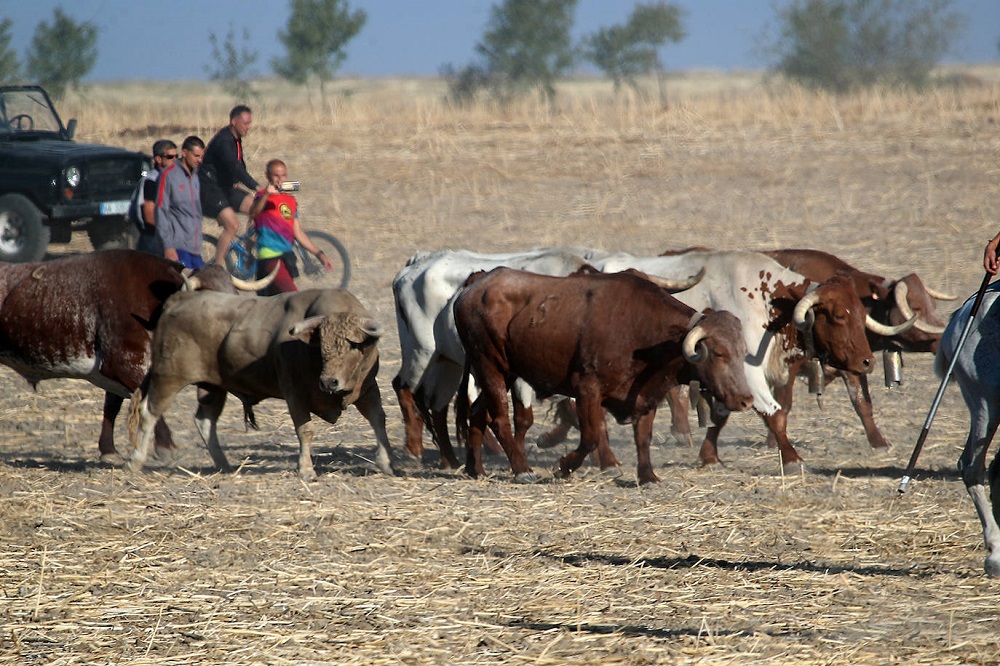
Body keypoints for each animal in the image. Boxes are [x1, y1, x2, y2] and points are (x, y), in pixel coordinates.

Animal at [0, 246, 270, 460]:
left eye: (234, 293)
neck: (156, 306)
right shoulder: (123, 365)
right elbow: (149, 404)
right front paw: (165, 446)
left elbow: (112, 406)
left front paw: (108, 450)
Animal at [131, 288, 396, 480]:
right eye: (321, 346)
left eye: (352, 345)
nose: (329, 381)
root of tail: (181, 299)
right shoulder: (295, 394)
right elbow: (305, 430)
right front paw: (306, 469)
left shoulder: (368, 390)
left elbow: (378, 419)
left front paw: (387, 462)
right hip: (168, 378)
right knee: (148, 412)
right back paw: (136, 459)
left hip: (212, 387)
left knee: (205, 420)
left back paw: (224, 465)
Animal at [454, 264, 752, 482]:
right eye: (718, 353)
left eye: (741, 350)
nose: (745, 400)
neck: (642, 331)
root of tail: (476, 284)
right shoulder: (587, 390)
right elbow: (591, 436)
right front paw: (565, 466)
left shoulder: (646, 396)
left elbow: (642, 438)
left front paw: (648, 476)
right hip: (491, 366)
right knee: (499, 419)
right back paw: (521, 469)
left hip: (499, 373)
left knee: (477, 412)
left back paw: (475, 468)